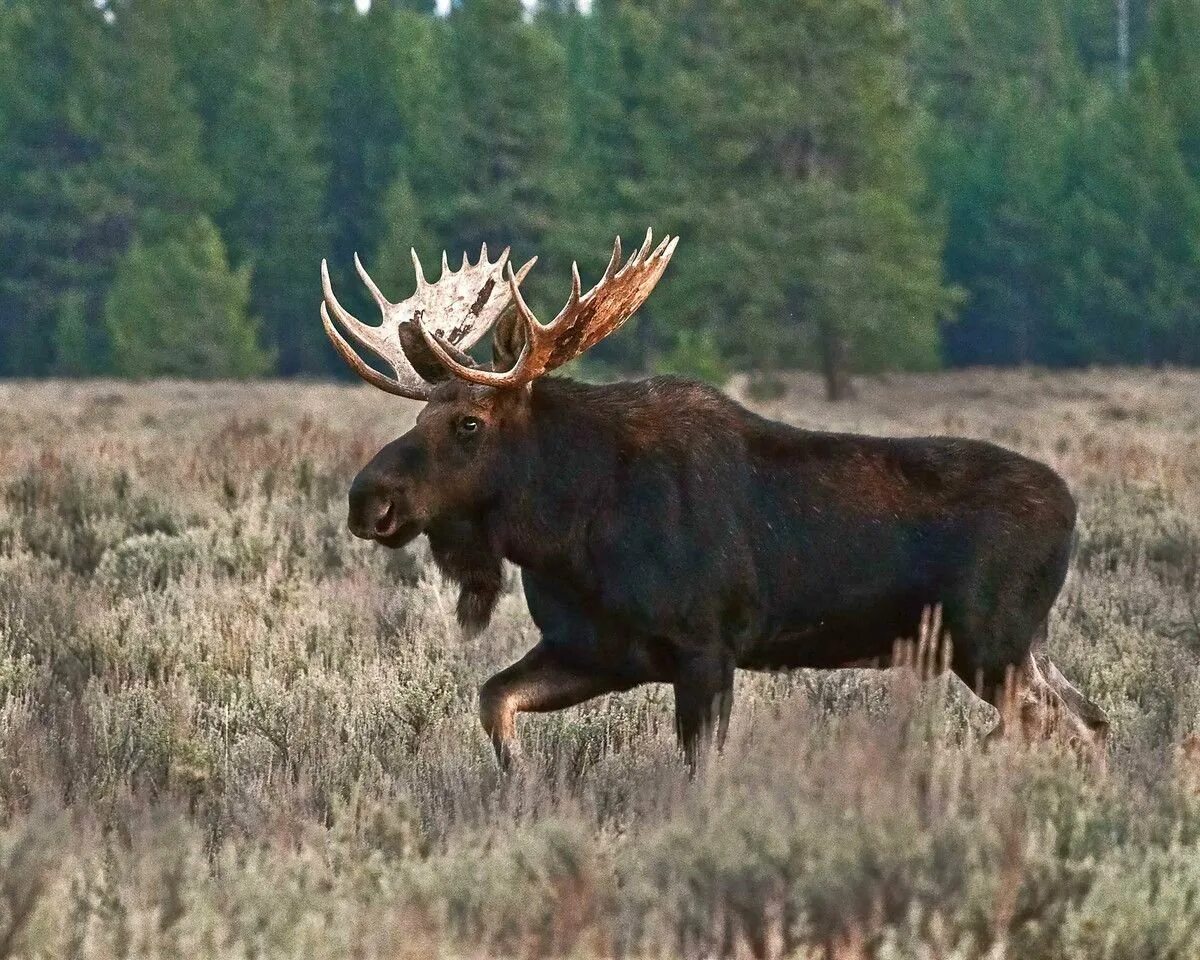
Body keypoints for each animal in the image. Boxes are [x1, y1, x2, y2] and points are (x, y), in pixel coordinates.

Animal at [319, 230, 1104, 763]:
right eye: (418, 416)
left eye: (469, 423)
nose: (368, 499)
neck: (564, 532)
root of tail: (1072, 509)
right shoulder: (598, 649)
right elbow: (494, 701)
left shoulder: (706, 647)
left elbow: (700, 768)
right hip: (1021, 644)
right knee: (1090, 720)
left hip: (989, 640)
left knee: (1060, 724)